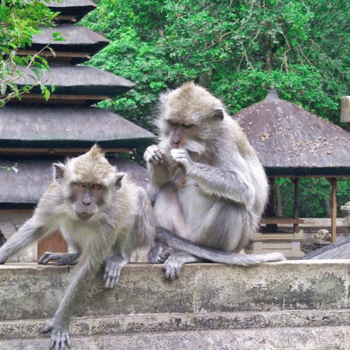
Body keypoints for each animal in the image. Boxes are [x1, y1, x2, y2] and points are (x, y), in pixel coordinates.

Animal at [0, 145, 154, 350]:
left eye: (96, 187)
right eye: (80, 185)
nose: (86, 202)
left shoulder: (111, 219)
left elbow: (88, 265)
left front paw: (60, 320)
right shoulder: (54, 198)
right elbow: (36, 227)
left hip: (145, 234)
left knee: (138, 197)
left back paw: (119, 256)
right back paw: (73, 255)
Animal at [144, 81, 284, 278]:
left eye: (187, 126)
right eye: (173, 123)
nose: (175, 140)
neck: (201, 146)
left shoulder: (225, 141)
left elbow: (245, 189)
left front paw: (188, 164)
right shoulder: (166, 145)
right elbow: (156, 189)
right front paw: (152, 155)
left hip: (223, 241)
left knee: (232, 204)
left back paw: (200, 255)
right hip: (183, 233)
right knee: (167, 190)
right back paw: (164, 249)